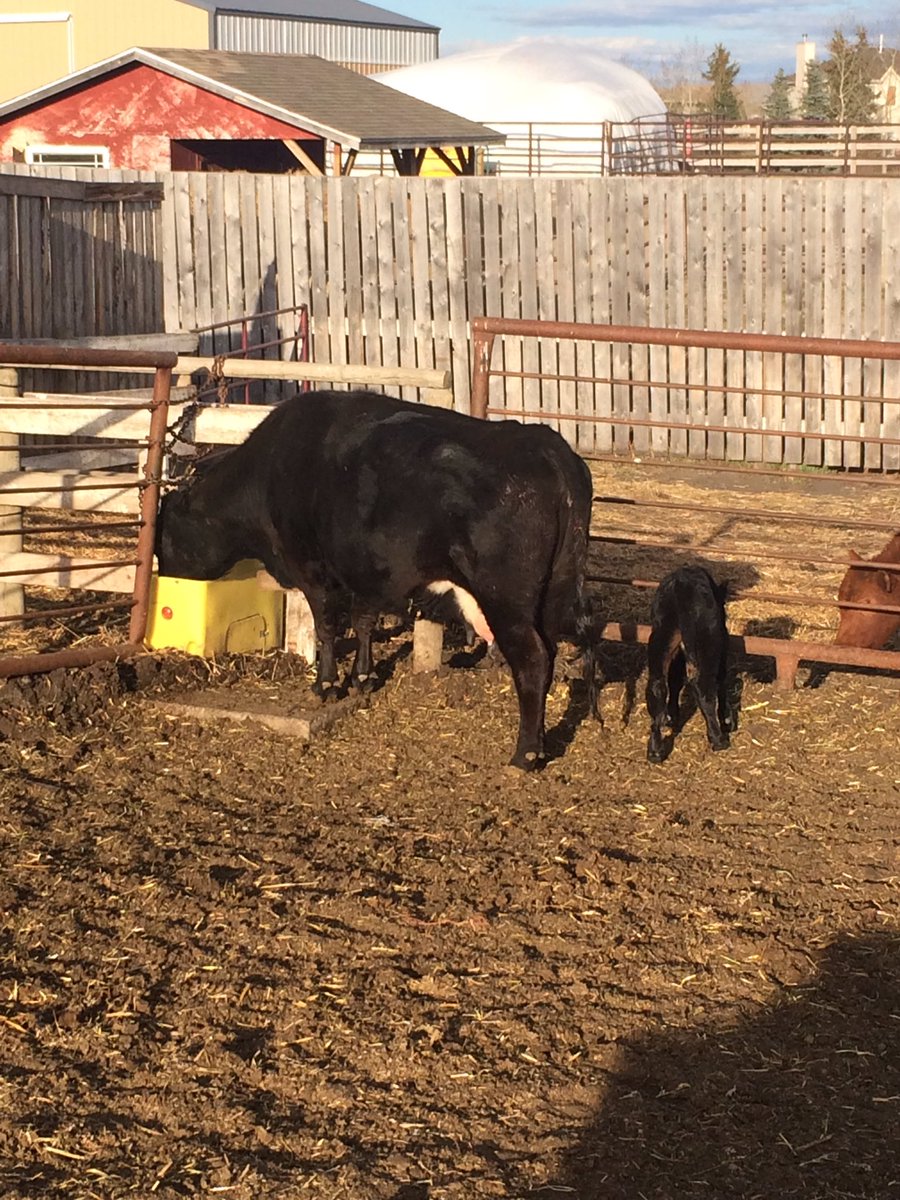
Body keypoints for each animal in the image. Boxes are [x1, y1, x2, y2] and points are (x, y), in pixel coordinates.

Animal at [155, 389, 595, 770]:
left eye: (166, 529)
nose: (168, 578)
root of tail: (545, 445)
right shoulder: (366, 571)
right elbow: (363, 622)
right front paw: (363, 677)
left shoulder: (313, 571)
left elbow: (327, 627)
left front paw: (327, 684)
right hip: (548, 597)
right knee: (549, 655)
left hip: (506, 600)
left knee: (533, 661)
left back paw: (525, 755)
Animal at [645, 565, 731, 764]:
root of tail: (681, 583)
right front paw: (726, 720)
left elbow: (675, 680)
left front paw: (672, 715)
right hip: (707, 646)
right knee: (703, 687)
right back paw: (718, 739)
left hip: (662, 639)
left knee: (657, 686)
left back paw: (655, 751)